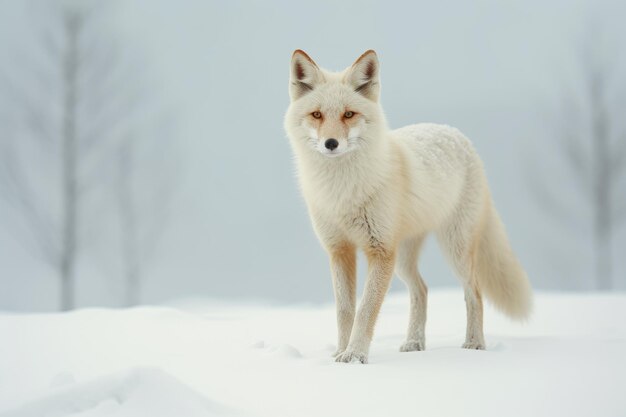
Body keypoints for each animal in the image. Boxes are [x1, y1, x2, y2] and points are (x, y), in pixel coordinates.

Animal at [282, 48, 532, 360]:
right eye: (317, 114)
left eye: (348, 114)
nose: (330, 143)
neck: (343, 191)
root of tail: (457, 135)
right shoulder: (340, 250)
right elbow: (344, 311)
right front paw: (340, 353)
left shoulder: (379, 251)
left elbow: (365, 310)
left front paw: (356, 356)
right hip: (402, 258)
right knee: (421, 290)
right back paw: (414, 342)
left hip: (453, 249)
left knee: (474, 292)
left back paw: (474, 344)